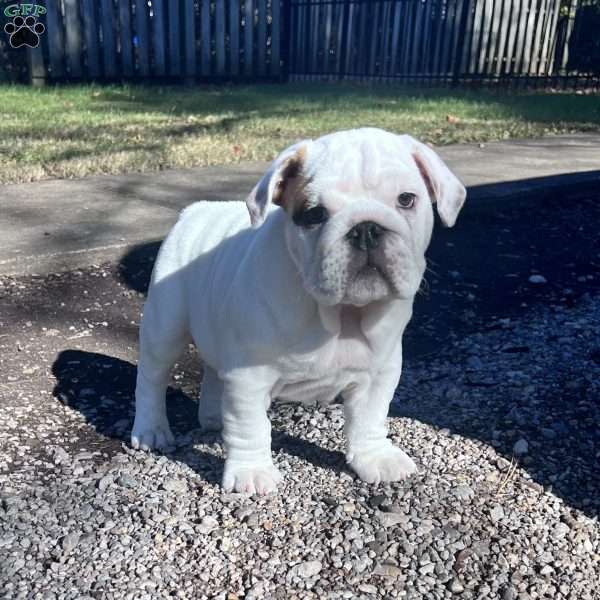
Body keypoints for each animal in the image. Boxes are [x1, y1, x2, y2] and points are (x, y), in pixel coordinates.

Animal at [134, 125, 466, 492]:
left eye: (407, 199)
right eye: (314, 214)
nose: (365, 228)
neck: (341, 314)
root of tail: (196, 210)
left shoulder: (379, 372)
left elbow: (370, 417)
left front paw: (375, 458)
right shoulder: (249, 378)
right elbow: (250, 426)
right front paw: (251, 472)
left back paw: (211, 417)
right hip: (165, 326)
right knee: (152, 377)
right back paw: (151, 430)